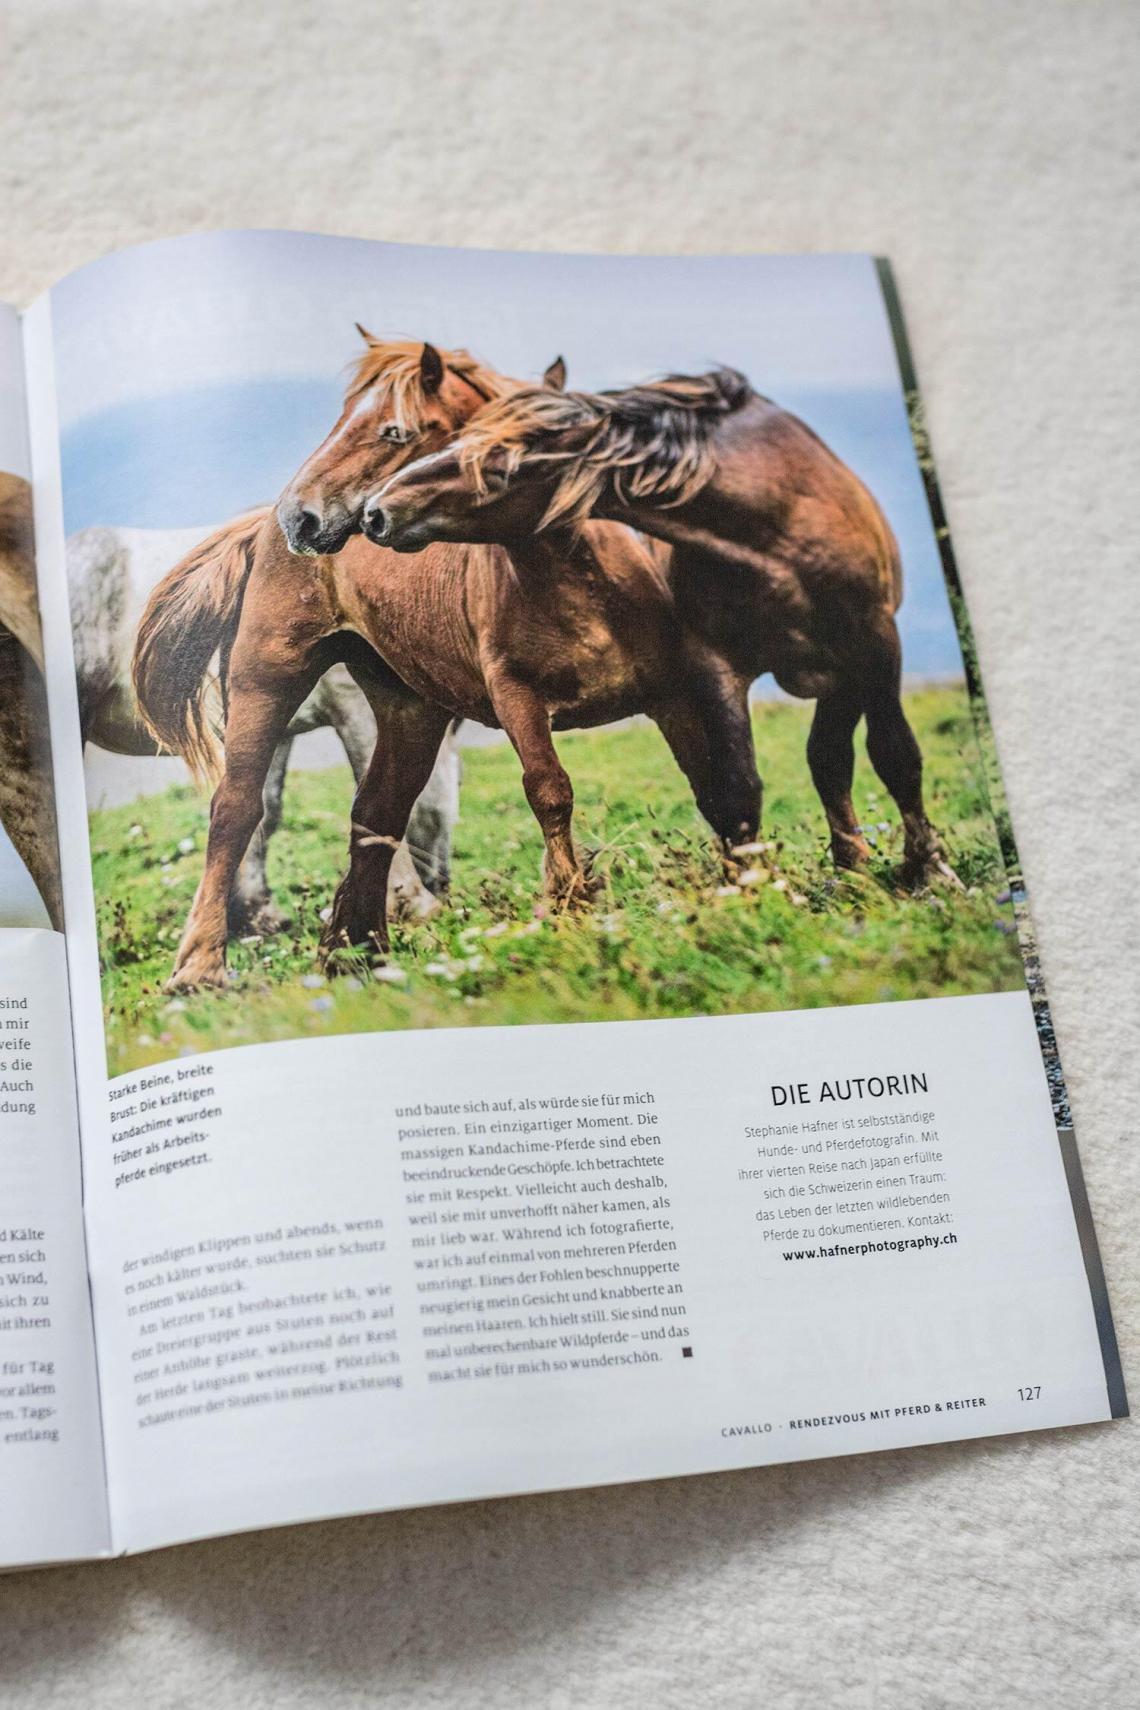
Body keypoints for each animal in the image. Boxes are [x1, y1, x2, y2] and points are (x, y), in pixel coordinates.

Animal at [68, 514, 458, 931]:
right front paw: (411, 902)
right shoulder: (356, 705)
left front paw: (255, 912)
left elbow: (263, 812)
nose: (442, 883)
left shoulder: (276, 729)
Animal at [134, 347, 760, 991]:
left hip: (409, 709)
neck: (575, 574)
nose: (304, 518)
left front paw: (742, 887)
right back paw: (200, 967)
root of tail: (261, 526)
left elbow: (713, 785)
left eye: (396, 431)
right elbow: (550, 792)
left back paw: (357, 952)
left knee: (376, 814)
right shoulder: (516, 699)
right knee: (237, 807)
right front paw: (570, 908)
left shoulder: (671, 695)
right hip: (267, 677)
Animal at [362, 370, 953, 888]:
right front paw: (753, 885)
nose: (375, 510)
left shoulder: (874, 643)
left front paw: (929, 869)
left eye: (498, 465)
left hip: (845, 670)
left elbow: (895, 754)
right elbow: (738, 787)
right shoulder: (716, 667)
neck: (777, 527)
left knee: (833, 756)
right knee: (826, 758)